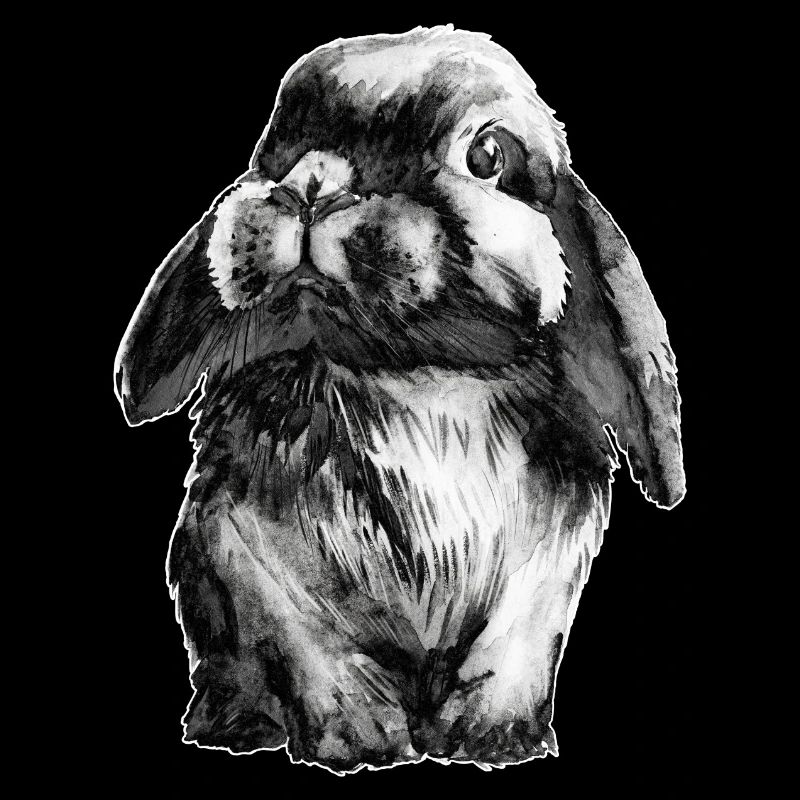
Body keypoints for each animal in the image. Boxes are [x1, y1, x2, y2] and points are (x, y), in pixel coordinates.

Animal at [114, 26, 685, 773]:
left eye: (488, 155)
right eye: (281, 147)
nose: (312, 187)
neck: (414, 379)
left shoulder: (545, 570)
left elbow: (512, 650)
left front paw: (494, 741)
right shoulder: (248, 553)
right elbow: (314, 652)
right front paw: (359, 744)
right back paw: (235, 727)